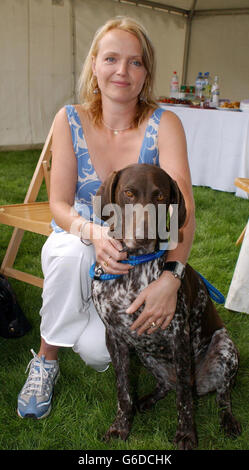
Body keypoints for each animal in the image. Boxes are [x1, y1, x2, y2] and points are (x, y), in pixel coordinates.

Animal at [91, 163, 241, 450]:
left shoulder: (179, 337)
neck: (135, 267)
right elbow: (123, 391)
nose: (143, 235)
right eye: (128, 193)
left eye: (160, 196)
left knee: (221, 394)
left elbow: (184, 399)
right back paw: (146, 400)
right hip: (145, 354)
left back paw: (228, 420)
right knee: (166, 385)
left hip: (225, 347)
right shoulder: (114, 338)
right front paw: (120, 427)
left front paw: (186, 435)